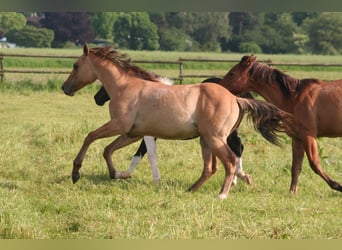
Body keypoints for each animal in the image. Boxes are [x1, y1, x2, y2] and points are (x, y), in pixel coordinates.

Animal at [93, 76, 251, 186]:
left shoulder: (148, 135)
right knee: (237, 148)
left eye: (105, 86)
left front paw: (126, 174)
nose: (96, 99)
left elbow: (145, 155)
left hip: (222, 134)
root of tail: (235, 97)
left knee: (237, 147)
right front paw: (124, 174)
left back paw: (237, 178)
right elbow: (141, 155)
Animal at [220, 54, 342, 194]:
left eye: (232, 74)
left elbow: (315, 164)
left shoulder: (308, 135)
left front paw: (338, 186)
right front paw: (292, 193)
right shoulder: (297, 138)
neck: (294, 98)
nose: (218, 86)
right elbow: (296, 167)